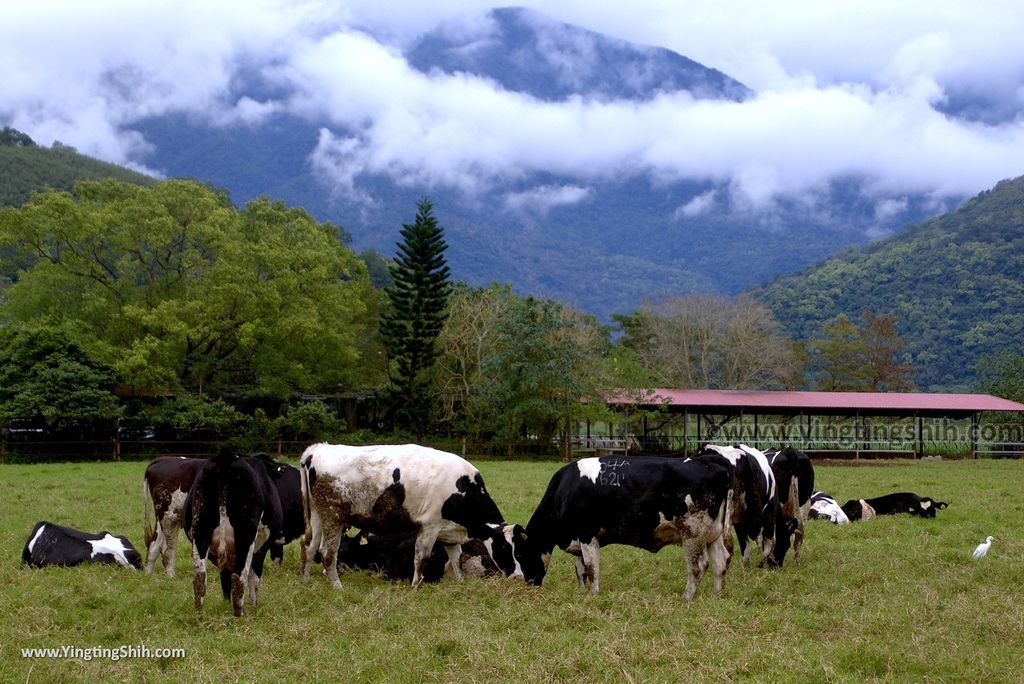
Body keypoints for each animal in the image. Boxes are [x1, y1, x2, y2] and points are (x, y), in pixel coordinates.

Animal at [184, 446, 284, 618]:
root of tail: (226, 457)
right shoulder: (261, 548)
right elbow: (254, 577)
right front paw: (253, 606)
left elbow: (224, 577)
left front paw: (225, 603)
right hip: (246, 536)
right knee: (239, 576)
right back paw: (239, 614)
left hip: (200, 531)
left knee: (200, 576)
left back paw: (199, 614)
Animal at [301, 444, 512, 589]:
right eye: (504, 547)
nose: (514, 575)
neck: (463, 489)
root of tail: (318, 449)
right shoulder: (429, 527)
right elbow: (421, 559)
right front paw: (415, 587)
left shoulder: (449, 532)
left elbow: (456, 559)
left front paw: (459, 582)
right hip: (333, 516)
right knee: (327, 553)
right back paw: (337, 587)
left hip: (318, 516)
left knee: (309, 546)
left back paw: (305, 579)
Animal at [524, 454, 733, 597]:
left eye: (518, 553)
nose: (523, 582)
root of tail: (708, 460)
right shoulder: (580, 540)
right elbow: (580, 569)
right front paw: (582, 592)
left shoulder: (587, 535)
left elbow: (591, 568)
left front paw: (593, 595)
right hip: (713, 534)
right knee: (720, 561)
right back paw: (716, 595)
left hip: (692, 531)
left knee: (698, 565)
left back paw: (687, 597)